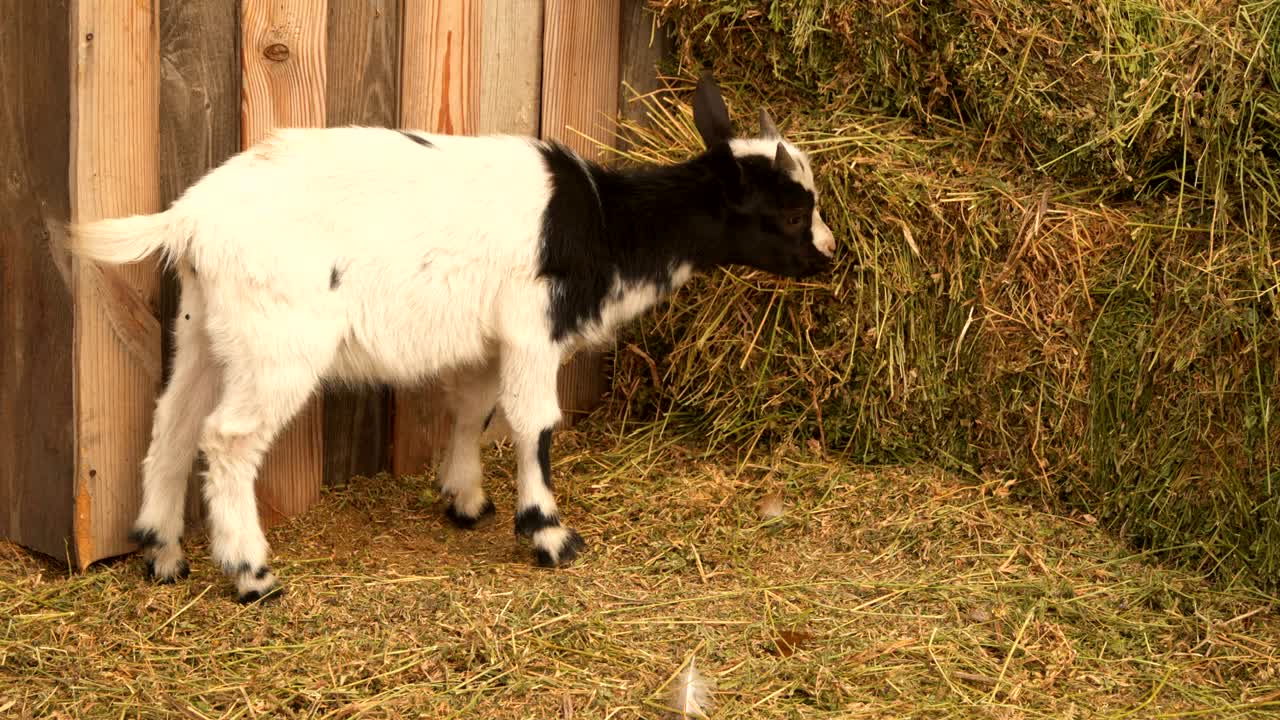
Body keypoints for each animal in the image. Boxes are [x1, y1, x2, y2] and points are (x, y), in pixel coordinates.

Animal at [65, 73, 836, 602]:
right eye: (789, 214)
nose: (830, 256)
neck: (607, 223)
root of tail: (191, 216)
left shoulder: (487, 338)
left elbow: (472, 410)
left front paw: (465, 501)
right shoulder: (533, 325)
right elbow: (535, 424)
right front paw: (548, 532)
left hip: (205, 331)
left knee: (171, 423)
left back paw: (163, 554)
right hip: (279, 344)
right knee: (226, 439)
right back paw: (251, 574)